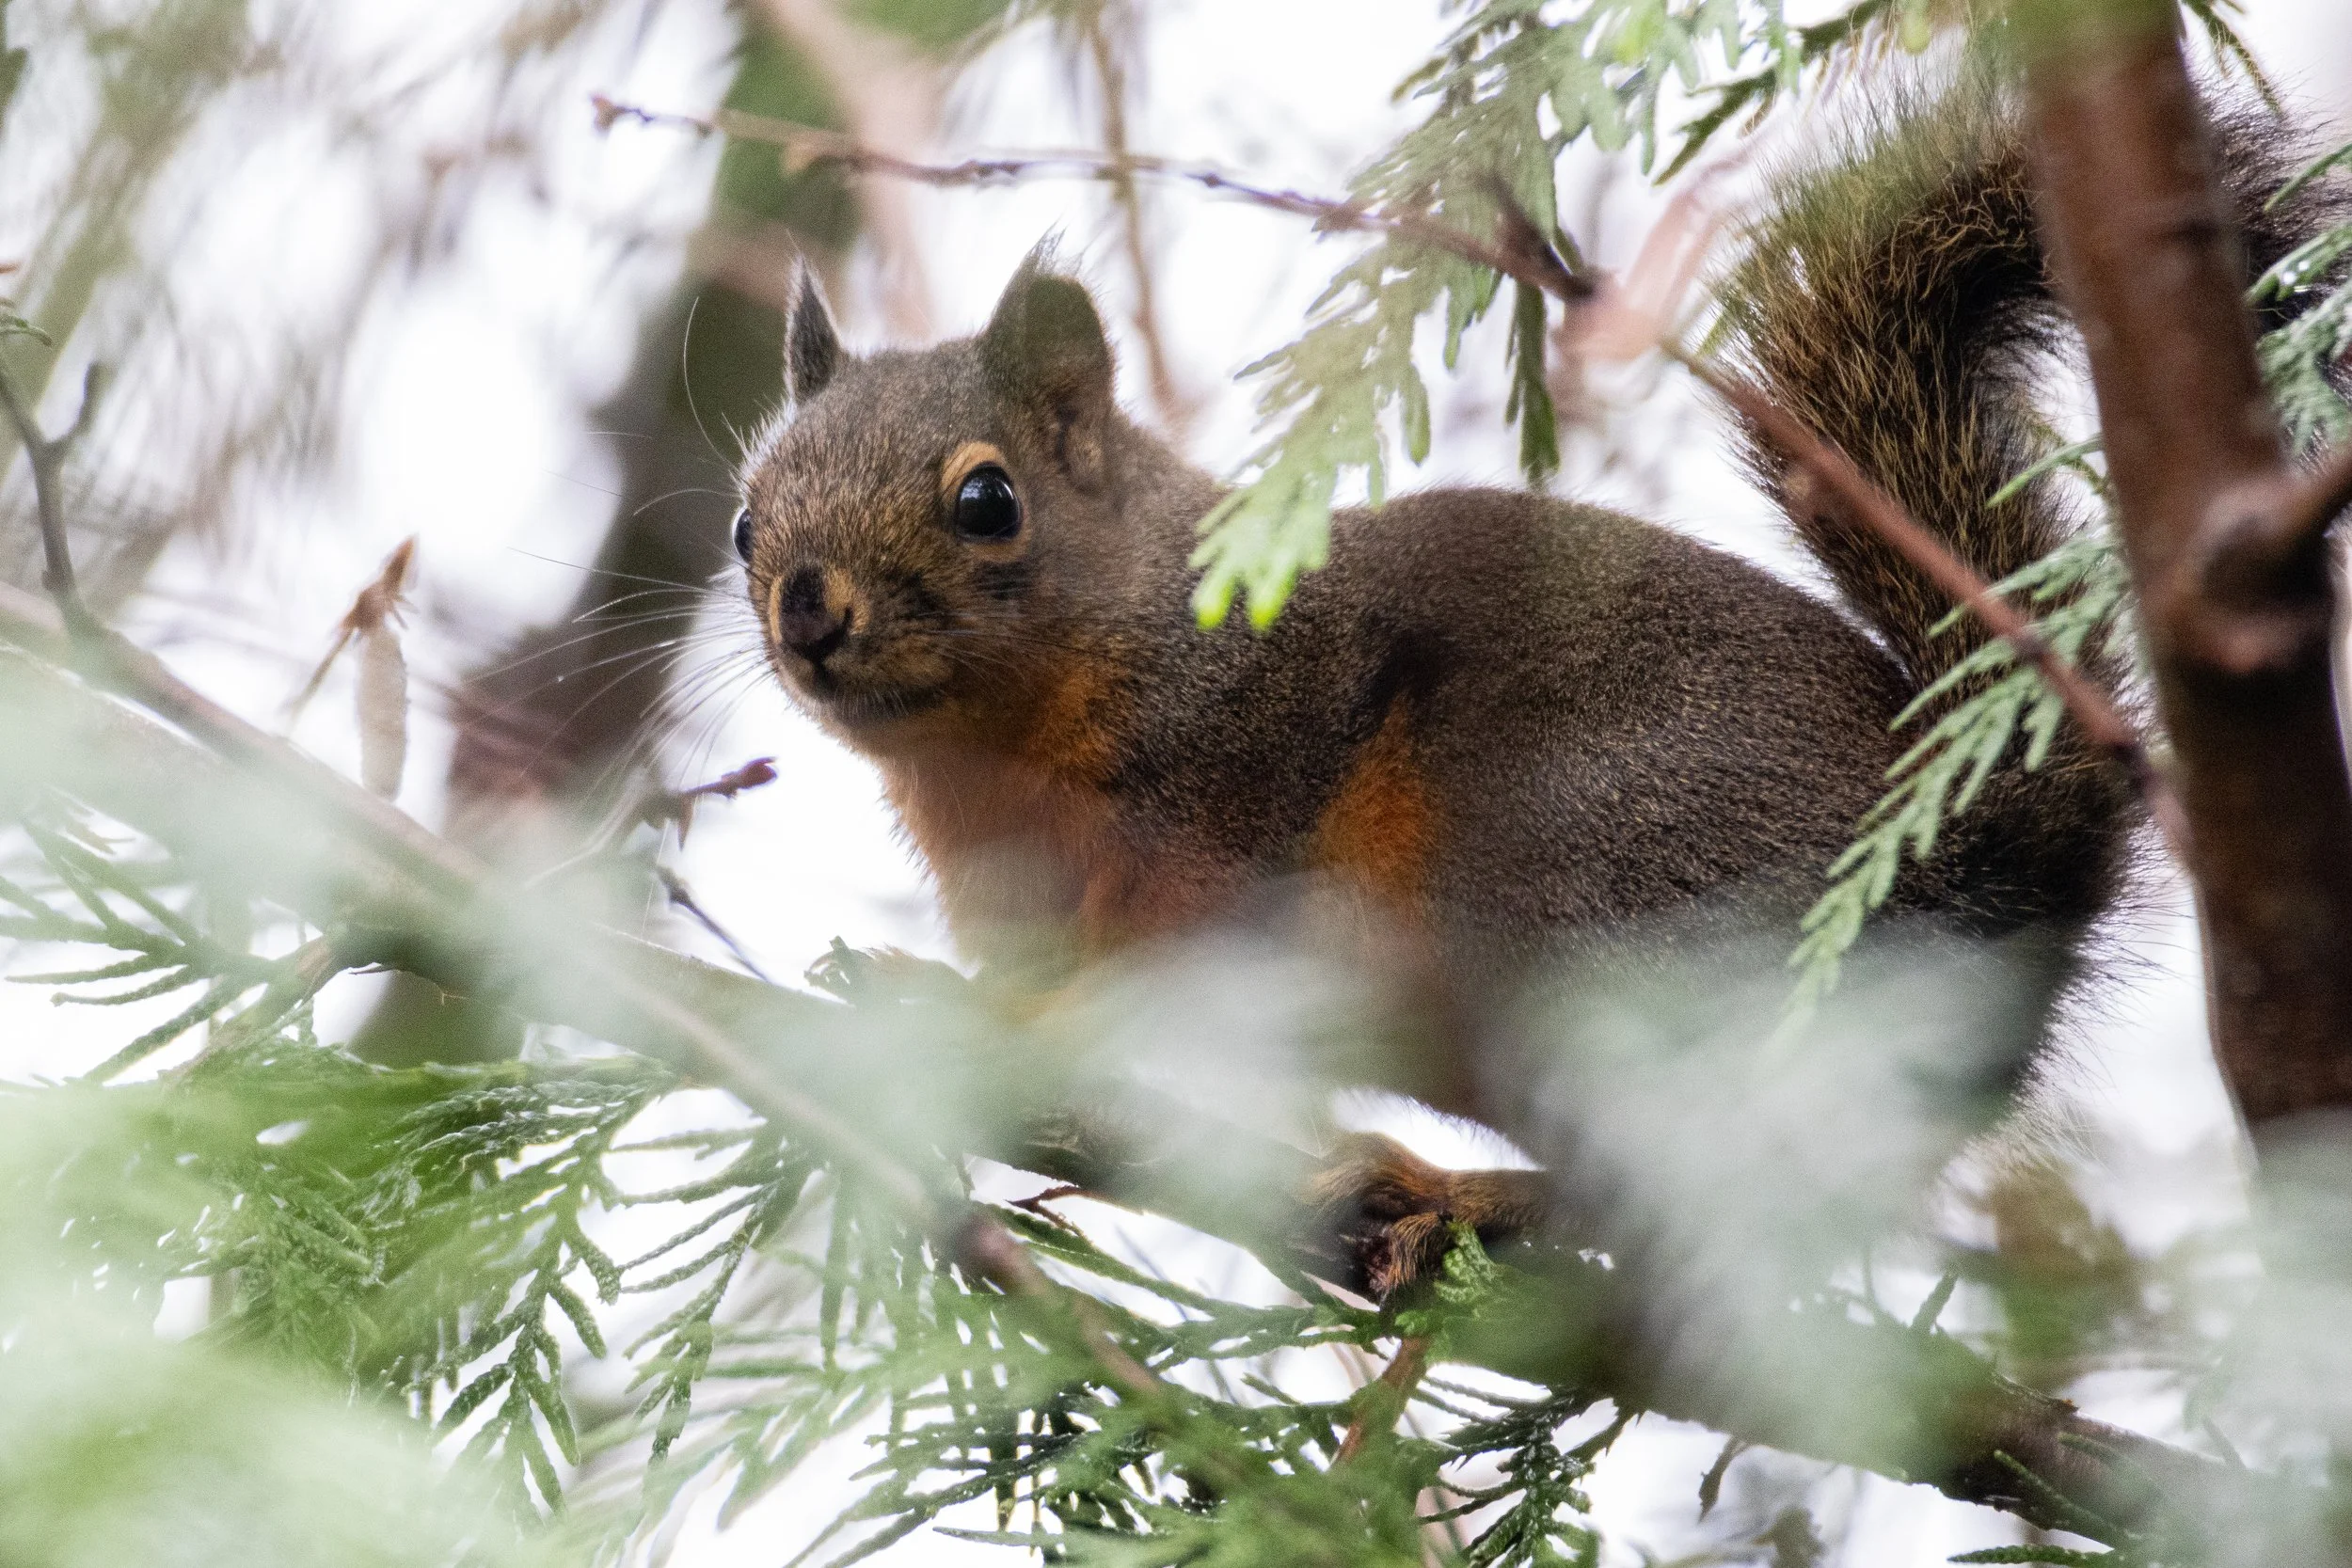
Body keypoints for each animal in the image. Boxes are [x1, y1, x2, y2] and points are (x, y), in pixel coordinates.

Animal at [733, 82, 2341, 1290]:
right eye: (746, 521)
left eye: (987, 499)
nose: (806, 608)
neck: (994, 756)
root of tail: (1997, 840)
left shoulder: (1237, 767)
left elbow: (1144, 973)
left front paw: (986, 1022)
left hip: (1583, 902)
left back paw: (1468, 1197)